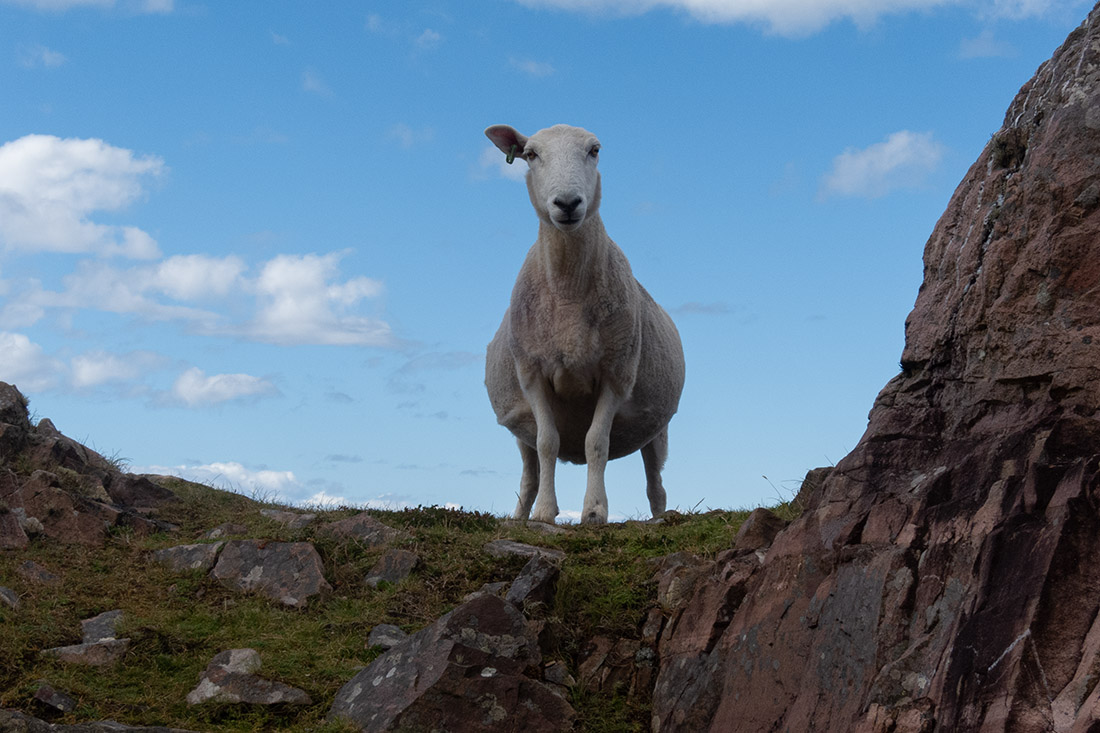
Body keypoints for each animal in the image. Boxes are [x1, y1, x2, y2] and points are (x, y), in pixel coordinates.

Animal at [484, 127, 682, 526]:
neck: (568, 294)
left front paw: (594, 511)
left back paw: (660, 518)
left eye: (594, 150)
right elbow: (548, 443)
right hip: (520, 430)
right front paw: (545, 513)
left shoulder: (616, 374)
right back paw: (520, 516)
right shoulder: (531, 375)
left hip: (657, 427)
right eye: (531, 154)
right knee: (529, 474)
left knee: (656, 484)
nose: (567, 203)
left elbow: (596, 443)